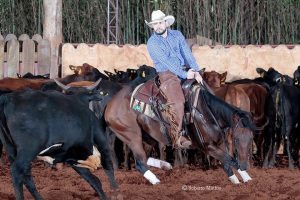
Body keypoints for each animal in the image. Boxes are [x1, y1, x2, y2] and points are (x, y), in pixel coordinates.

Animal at [105, 79, 255, 184]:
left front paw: (242, 178)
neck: (206, 110)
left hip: (148, 138)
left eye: (251, 138)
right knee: (140, 162)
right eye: (236, 139)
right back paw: (157, 181)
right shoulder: (207, 146)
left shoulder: (219, 142)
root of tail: (110, 105)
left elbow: (228, 160)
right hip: (132, 136)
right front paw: (243, 177)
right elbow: (230, 159)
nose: (245, 165)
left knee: (144, 158)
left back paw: (165, 165)